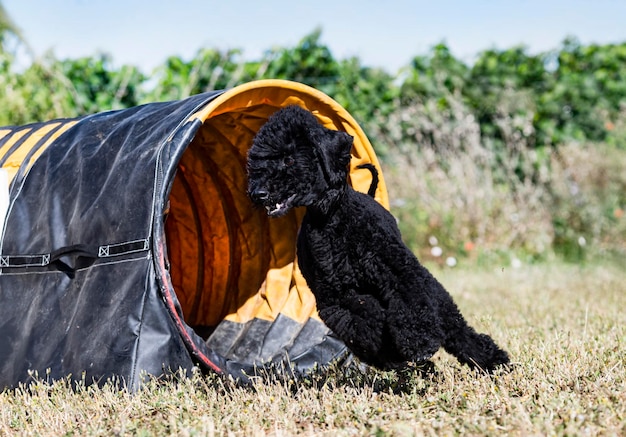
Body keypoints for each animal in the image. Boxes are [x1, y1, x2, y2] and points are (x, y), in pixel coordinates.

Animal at [245, 104, 508, 372]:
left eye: (288, 159)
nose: (258, 193)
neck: (333, 218)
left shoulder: (399, 271)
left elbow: (411, 304)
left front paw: (419, 342)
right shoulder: (337, 296)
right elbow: (361, 322)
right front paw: (394, 350)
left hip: (433, 294)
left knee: (457, 328)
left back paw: (493, 361)